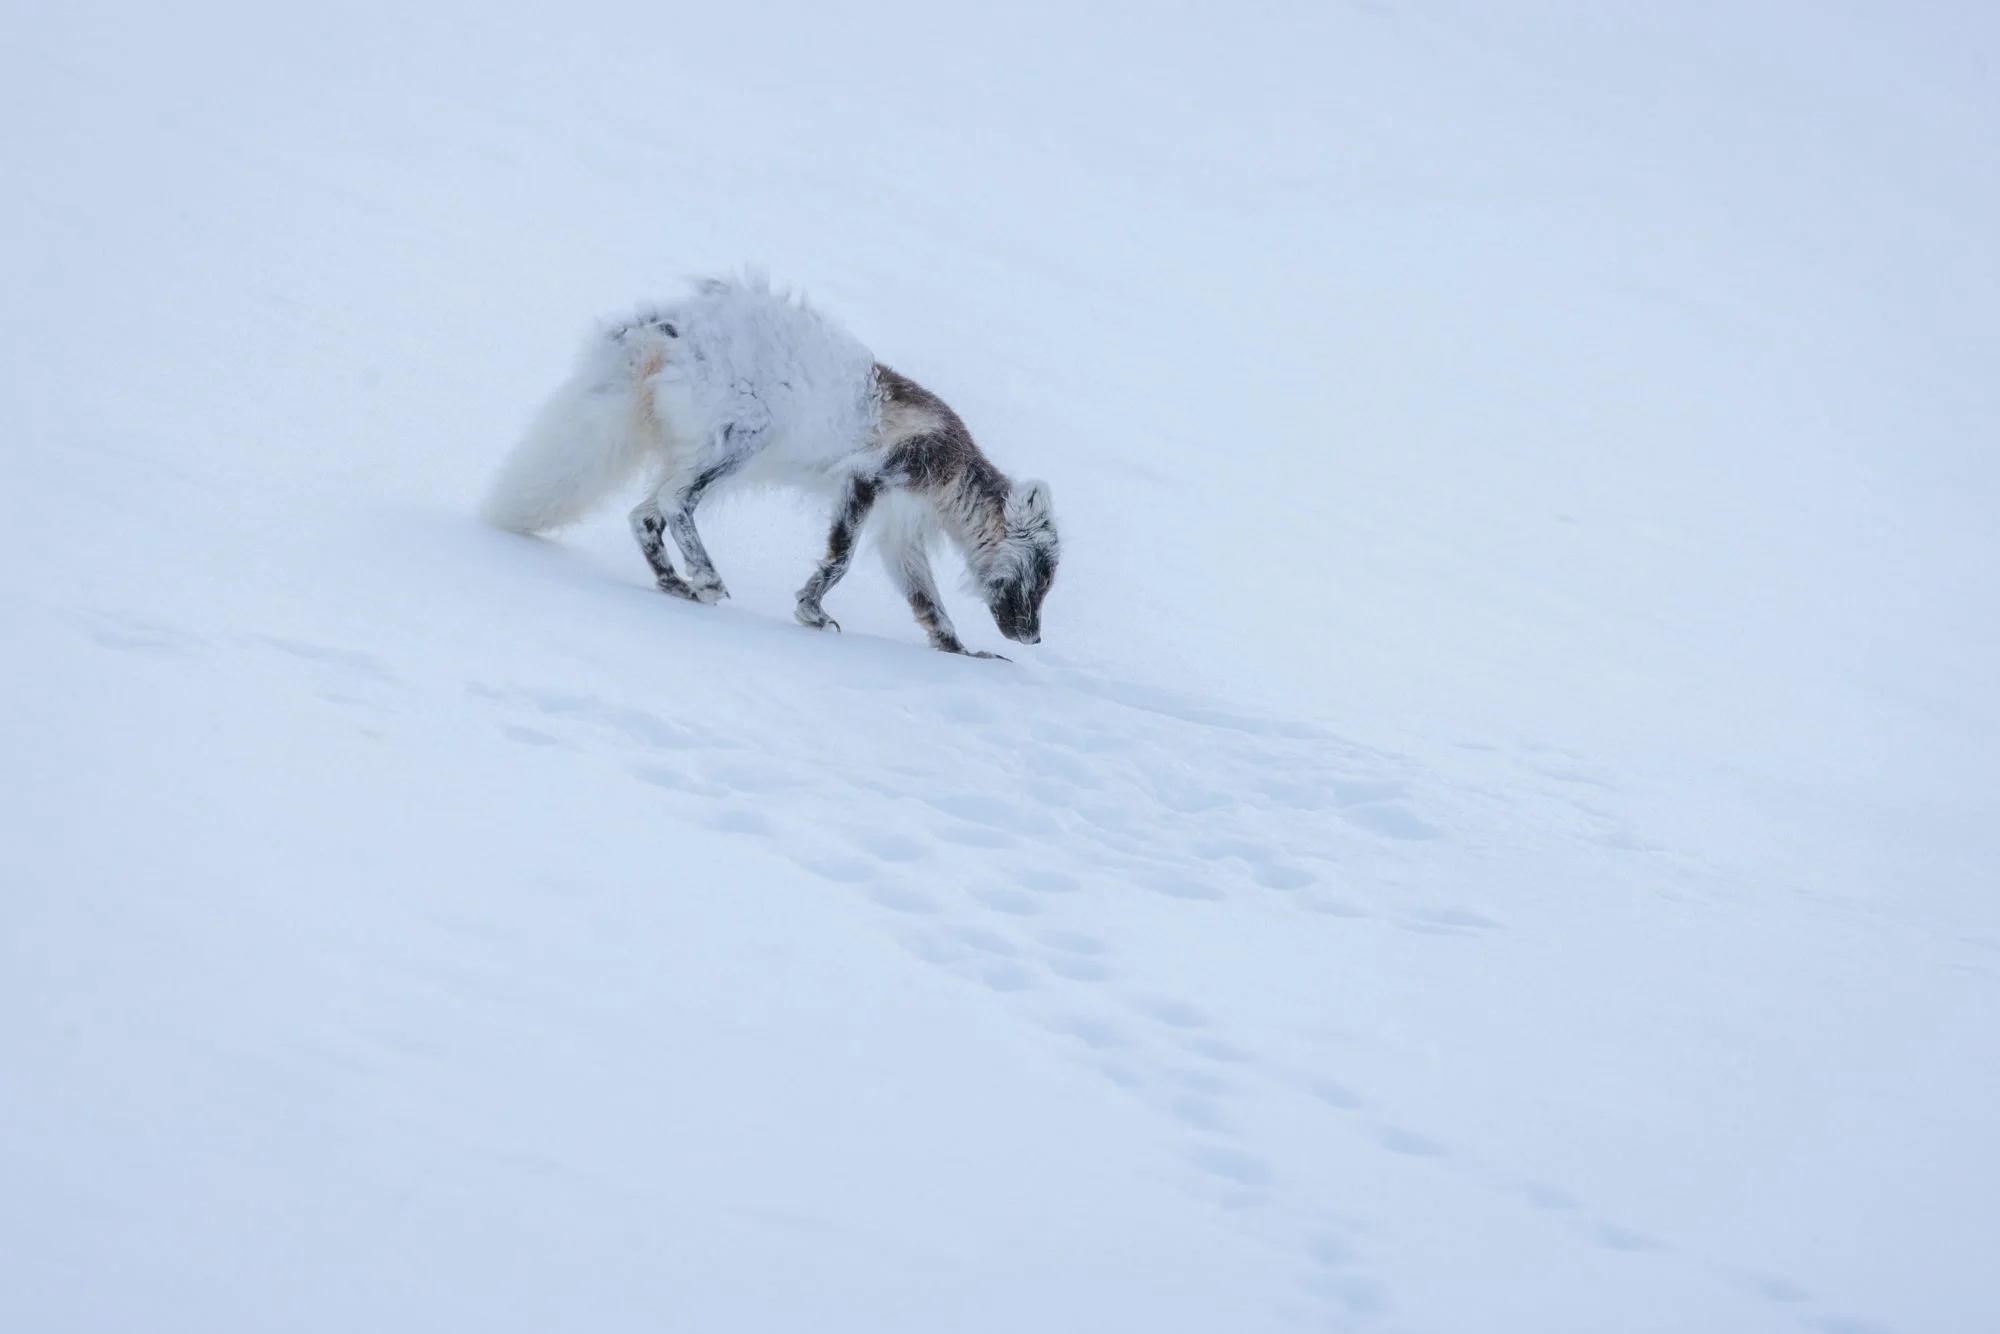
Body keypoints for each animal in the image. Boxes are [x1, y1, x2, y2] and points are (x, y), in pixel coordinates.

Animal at [480, 274, 1059, 657]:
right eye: (1040, 574)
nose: (1033, 638)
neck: (957, 476)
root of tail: (663, 328)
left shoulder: (901, 533)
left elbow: (927, 600)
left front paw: (961, 651)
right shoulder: (873, 474)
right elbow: (839, 560)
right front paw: (811, 611)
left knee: (642, 515)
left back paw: (676, 584)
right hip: (741, 442)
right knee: (674, 501)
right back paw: (707, 578)